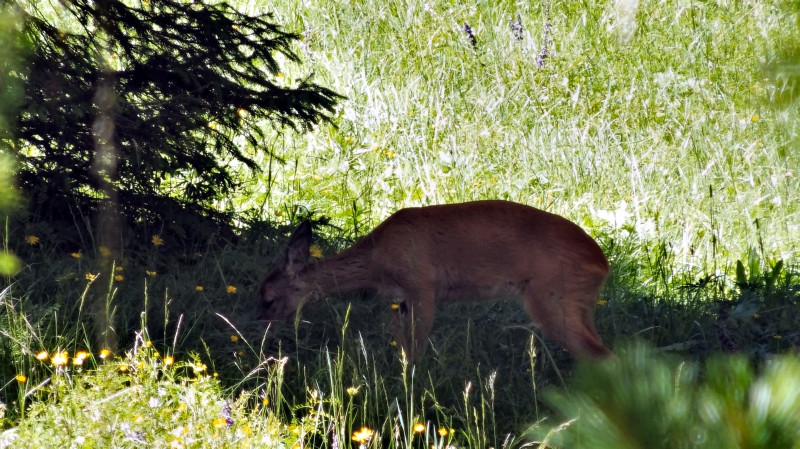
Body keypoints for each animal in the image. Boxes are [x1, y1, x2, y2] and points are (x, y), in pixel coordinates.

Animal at [259, 200, 612, 362]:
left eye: (268, 297)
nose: (263, 331)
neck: (376, 258)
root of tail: (602, 262)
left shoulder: (422, 285)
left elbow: (415, 348)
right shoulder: (401, 299)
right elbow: (401, 342)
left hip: (552, 297)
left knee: (601, 355)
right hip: (580, 303)